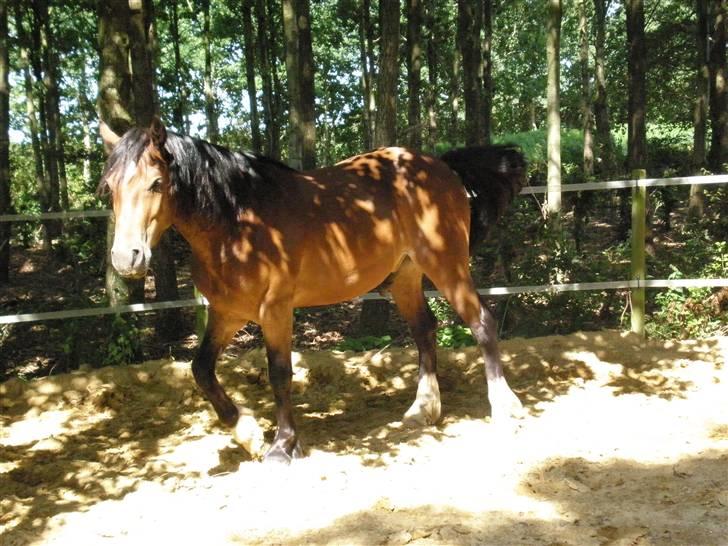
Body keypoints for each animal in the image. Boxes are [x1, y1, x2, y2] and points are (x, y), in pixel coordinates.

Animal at [99, 118, 528, 460]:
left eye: (156, 183)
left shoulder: (275, 310)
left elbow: (279, 373)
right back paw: (422, 410)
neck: (236, 222)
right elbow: (201, 369)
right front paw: (248, 434)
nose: (126, 258)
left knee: (482, 323)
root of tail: (441, 167)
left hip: (446, 264)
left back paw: (505, 407)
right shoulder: (227, 313)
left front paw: (282, 445)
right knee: (425, 330)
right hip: (406, 276)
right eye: (110, 187)